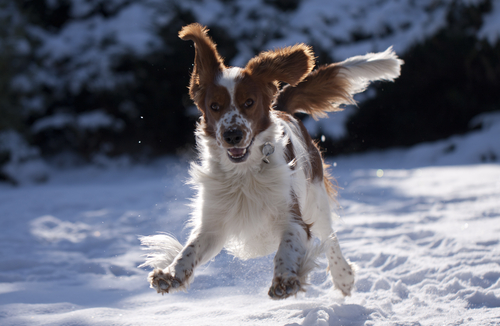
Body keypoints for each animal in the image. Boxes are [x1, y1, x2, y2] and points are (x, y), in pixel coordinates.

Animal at [140, 22, 402, 298]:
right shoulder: (213, 223)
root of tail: (283, 109)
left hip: (316, 197)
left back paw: (343, 277)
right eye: (214, 106)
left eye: (249, 102)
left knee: (330, 236)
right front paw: (170, 274)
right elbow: (189, 249)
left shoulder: (294, 218)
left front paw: (285, 279)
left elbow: (287, 247)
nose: (232, 135)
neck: (244, 172)